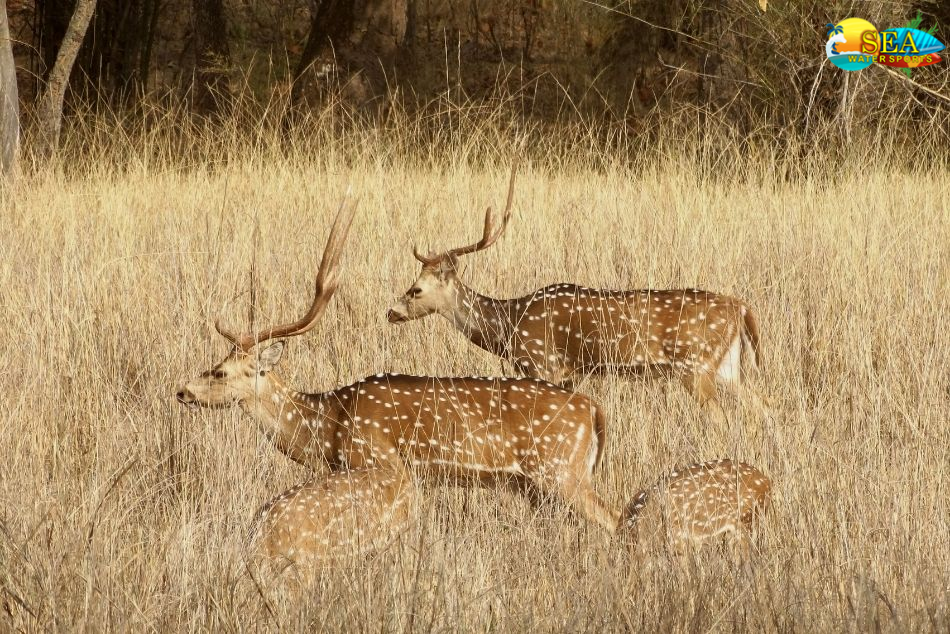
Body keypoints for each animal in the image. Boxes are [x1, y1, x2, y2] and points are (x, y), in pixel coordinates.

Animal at [177, 196, 624, 564]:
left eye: (220, 371)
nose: (182, 391)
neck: (328, 424)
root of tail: (593, 410)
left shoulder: (374, 458)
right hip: (536, 483)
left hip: (560, 470)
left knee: (615, 517)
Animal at [386, 167, 768, 424]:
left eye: (416, 289)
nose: (391, 312)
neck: (509, 325)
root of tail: (741, 308)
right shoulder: (571, 373)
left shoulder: (543, 363)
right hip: (727, 366)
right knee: (762, 407)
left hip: (696, 365)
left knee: (722, 418)